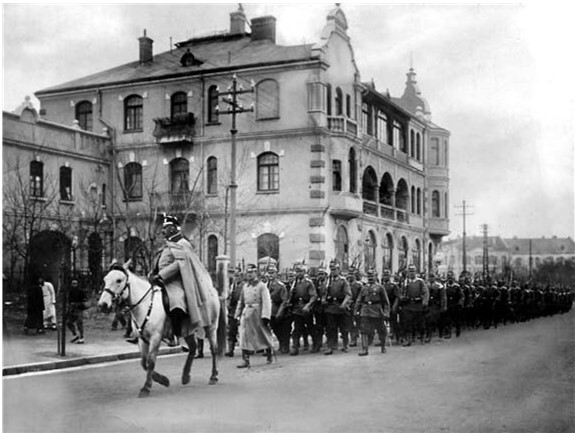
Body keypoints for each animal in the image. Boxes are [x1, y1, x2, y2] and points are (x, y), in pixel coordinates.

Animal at [98, 262, 226, 396]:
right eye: (105, 279)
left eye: (119, 280)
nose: (102, 305)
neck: (145, 305)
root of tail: (213, 291)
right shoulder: (142, 339)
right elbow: (144, 362)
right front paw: (163, 380)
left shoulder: (155, 338)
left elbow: (151, 362)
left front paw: (146, 387)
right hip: (188, 330)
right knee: (193, 348)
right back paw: (185, 376)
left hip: (211, 327)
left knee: (214, 349)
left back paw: (213, 376)